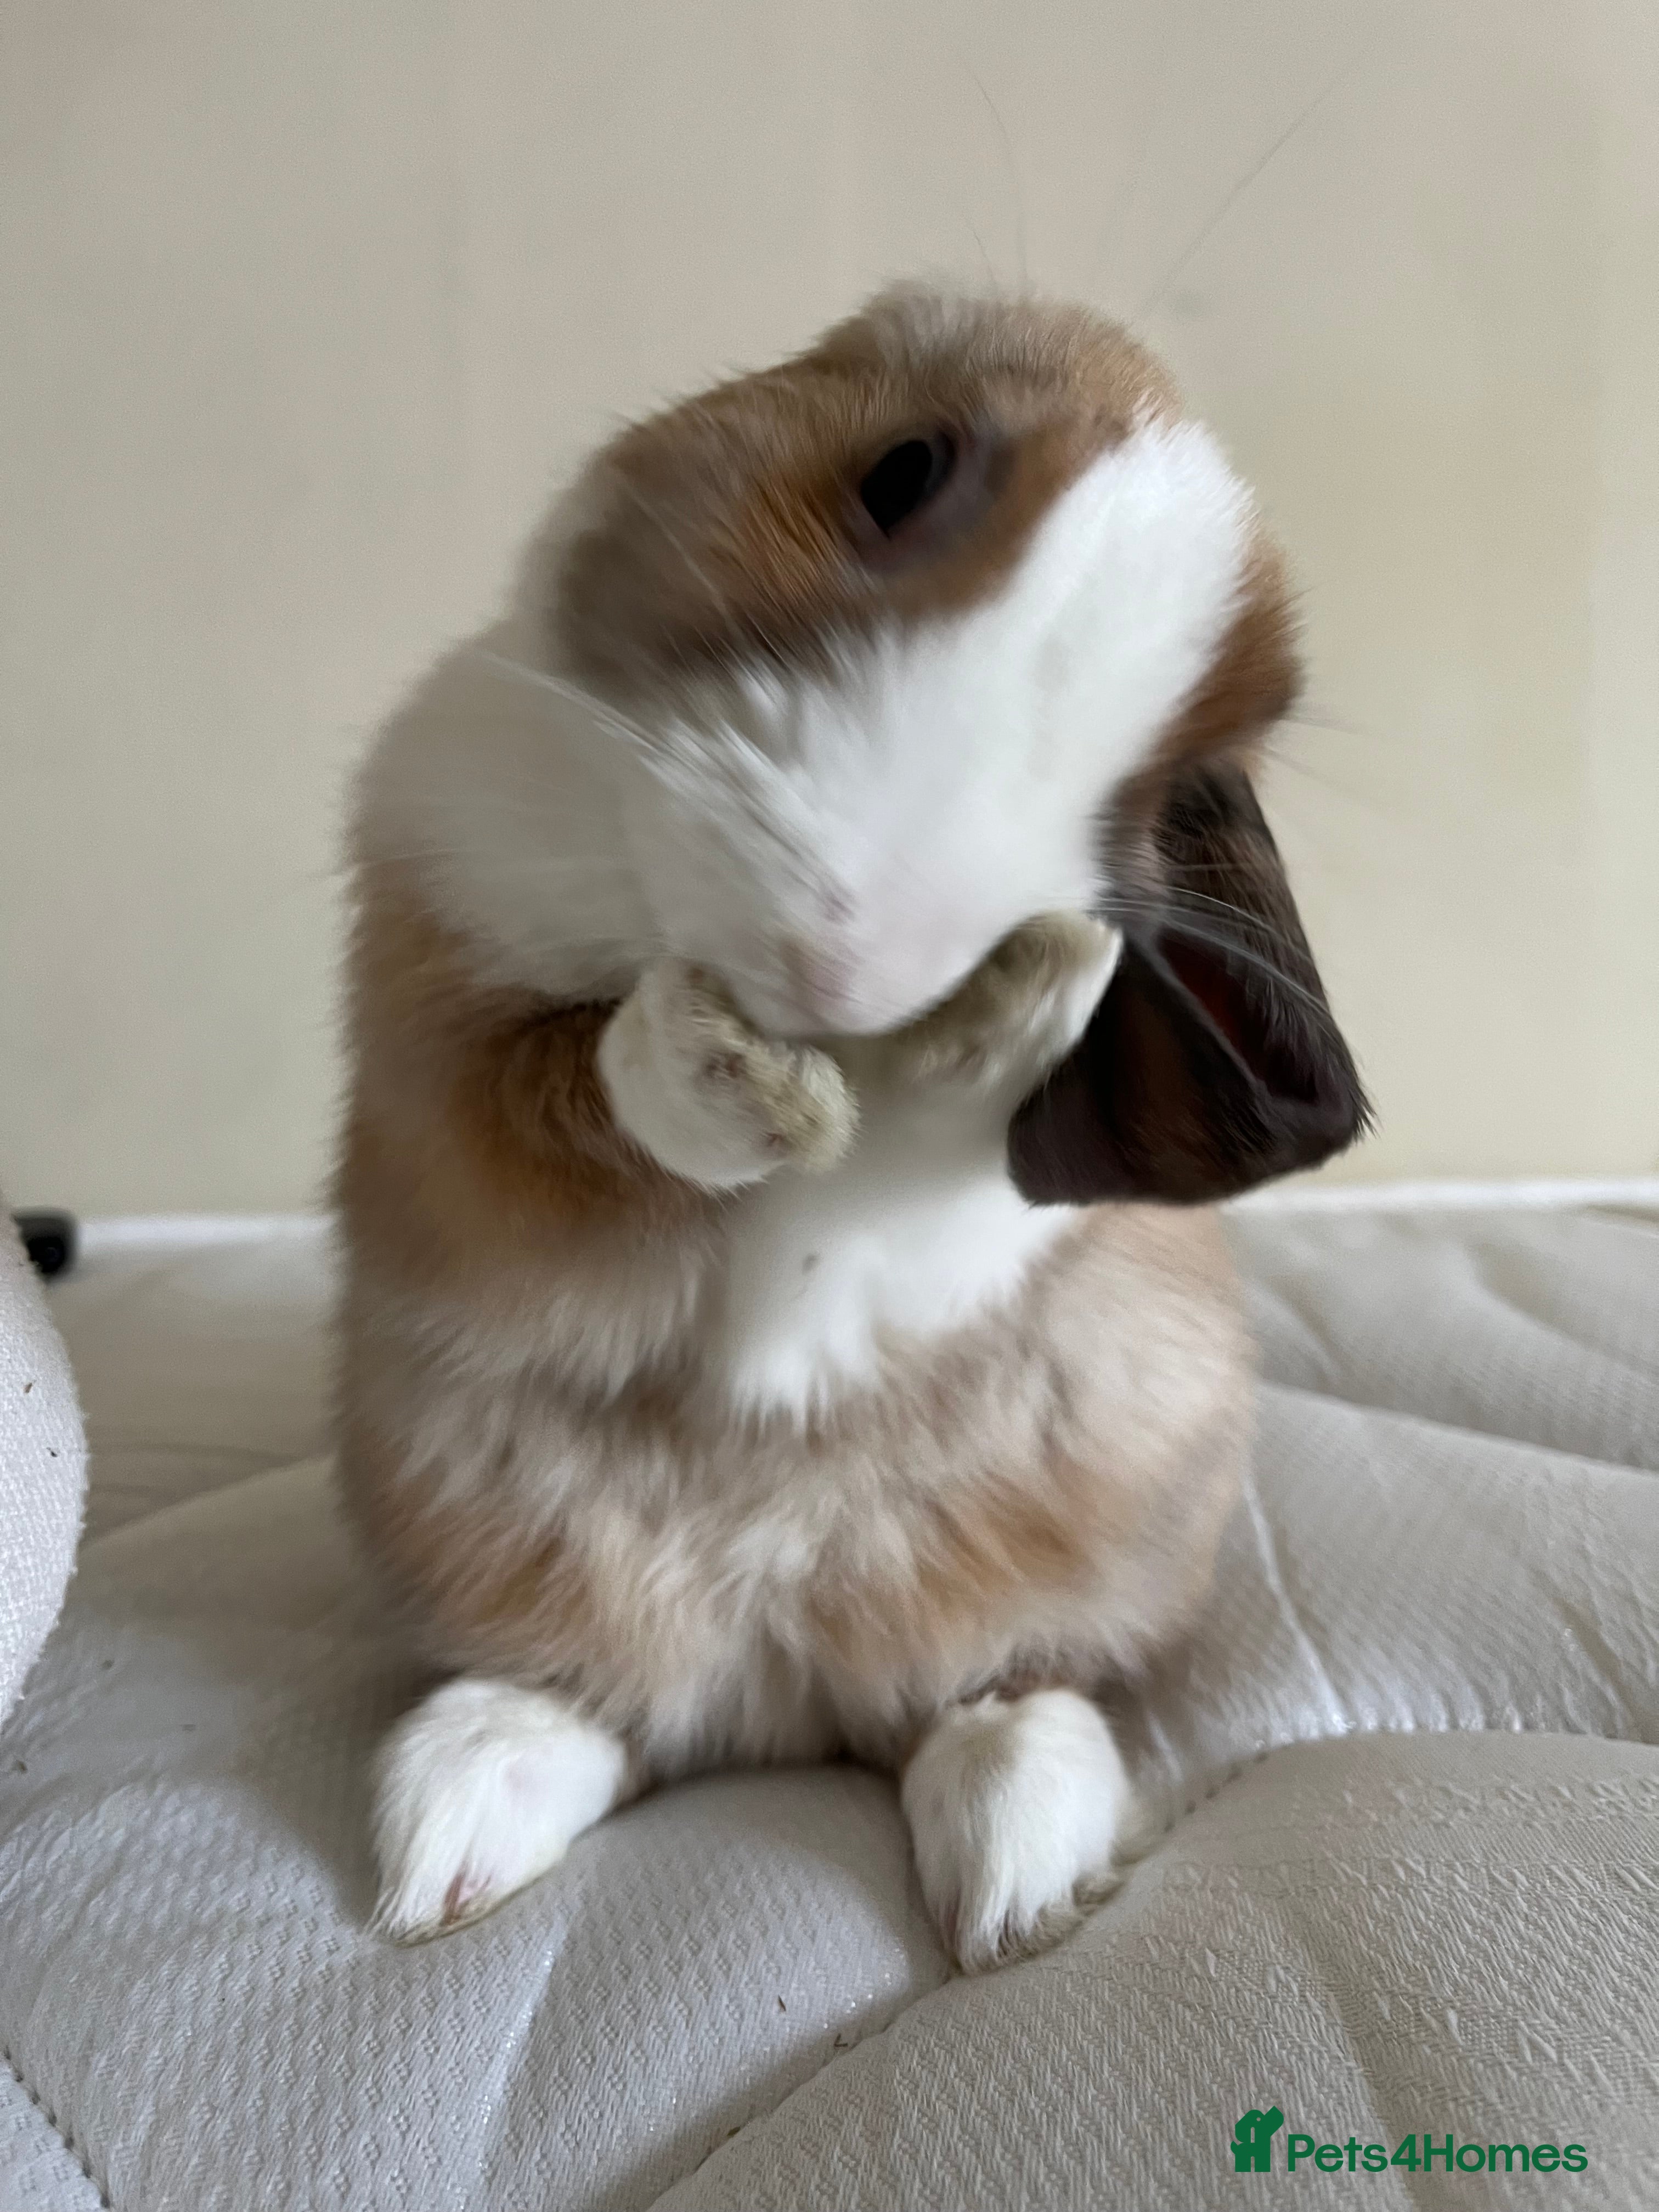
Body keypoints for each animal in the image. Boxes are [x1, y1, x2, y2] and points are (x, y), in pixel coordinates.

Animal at [336, 282, 1367, 1970]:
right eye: (901, 472)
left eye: (1174, 784)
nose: (850, 965)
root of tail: (783, 1699)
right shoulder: (442, 1062)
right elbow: (581, 1104)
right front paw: (724, 1069)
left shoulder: (967, 1235)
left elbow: (915, 1202)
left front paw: (1022, 1002)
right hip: (469, 1516)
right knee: (602, 1704)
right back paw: (454, 1828)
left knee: (980, 1695)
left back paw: (1018, 1872)